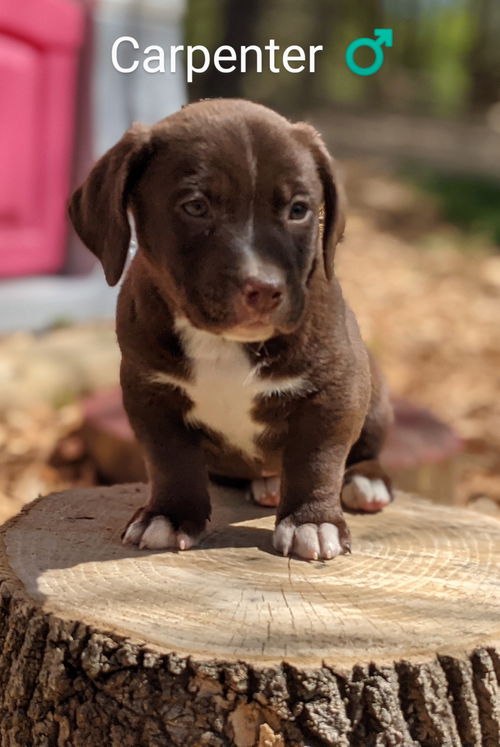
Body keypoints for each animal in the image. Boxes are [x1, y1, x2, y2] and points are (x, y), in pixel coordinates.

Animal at [68, 98, 392, 560]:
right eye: (196, 206)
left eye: (298, 210)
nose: (266, 288)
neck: (224, 343)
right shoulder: (149, 392)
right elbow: (171, 460)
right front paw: (168, 516)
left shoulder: (337, 387)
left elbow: (318, 457)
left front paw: (311, 522)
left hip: (375, 390)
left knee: (362, 450)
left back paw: (366, 480)